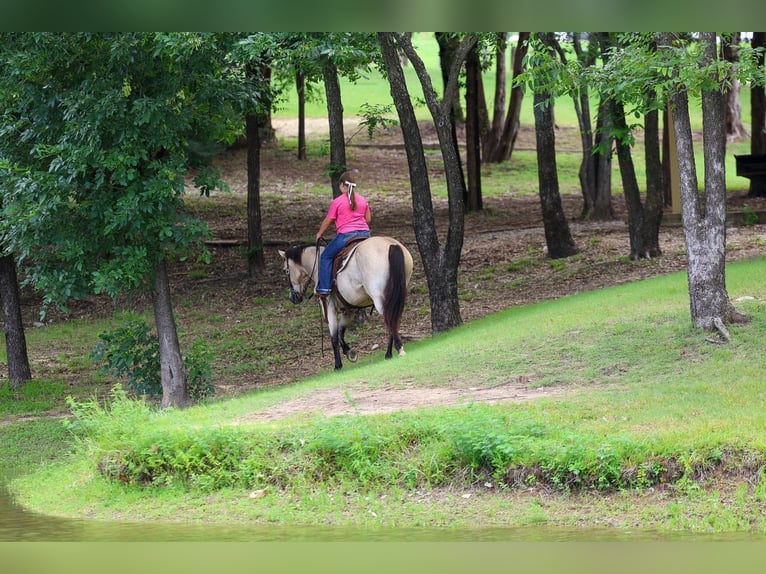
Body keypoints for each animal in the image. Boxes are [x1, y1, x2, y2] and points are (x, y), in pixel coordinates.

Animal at [279, 236, 414, 370]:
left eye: (285, 270)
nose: (293, 297)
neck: (317, 266)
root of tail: (391, 245)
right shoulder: (349, 310)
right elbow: (341, 330)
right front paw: (348, 351)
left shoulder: (328, 306)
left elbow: (334, 336)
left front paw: (338, 365)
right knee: (393, 319)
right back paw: (391, 352)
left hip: (379, 298)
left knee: (389, 319)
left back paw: (395, 350)